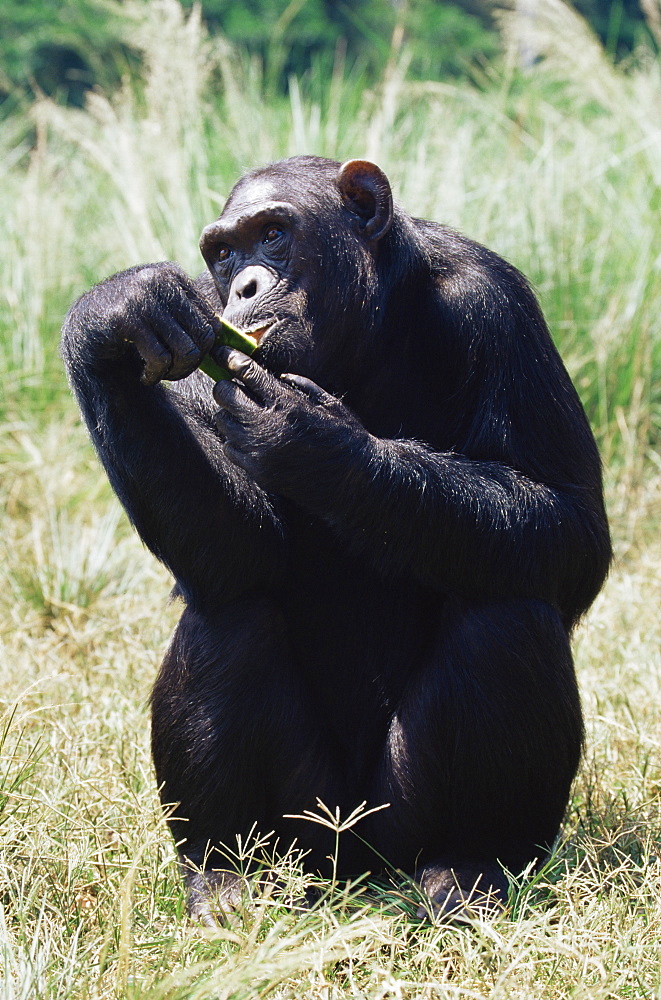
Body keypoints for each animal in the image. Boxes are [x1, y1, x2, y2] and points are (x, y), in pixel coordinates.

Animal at [60, 156, 608, 920]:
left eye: (273, 233)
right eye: (223, 254)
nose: (244, 285)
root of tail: (357, 871)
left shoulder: (499, 305)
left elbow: (568, 527)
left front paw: (312, 439)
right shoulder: (198, 322)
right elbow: (243, 554)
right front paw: (114, 316)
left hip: (397, 823)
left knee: (507, 613)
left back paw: (470, 866)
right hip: (308, 829)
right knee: (229, 616)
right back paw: (227, 875)